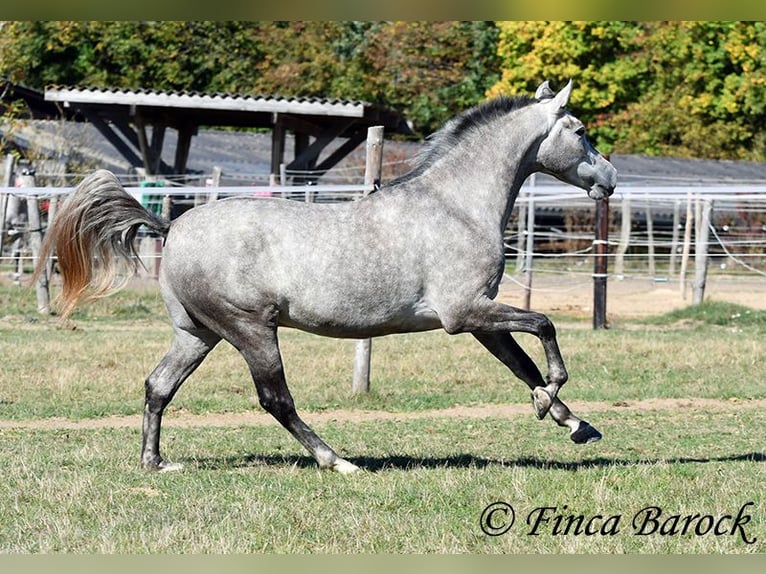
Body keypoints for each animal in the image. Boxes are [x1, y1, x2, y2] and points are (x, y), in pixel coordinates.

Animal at [36, 80, 617, 473]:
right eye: (581, 131)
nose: (609, 179)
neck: (454, 206)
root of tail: (172, 225)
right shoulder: (464, 313)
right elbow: (544, 328)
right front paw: (553, 401)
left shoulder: (480, 318)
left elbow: (522, 365)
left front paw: (574, 423)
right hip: (252, 331)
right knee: (276, 400)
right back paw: (337, 461)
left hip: (197, 333)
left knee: (158, 387)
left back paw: (155, 463)